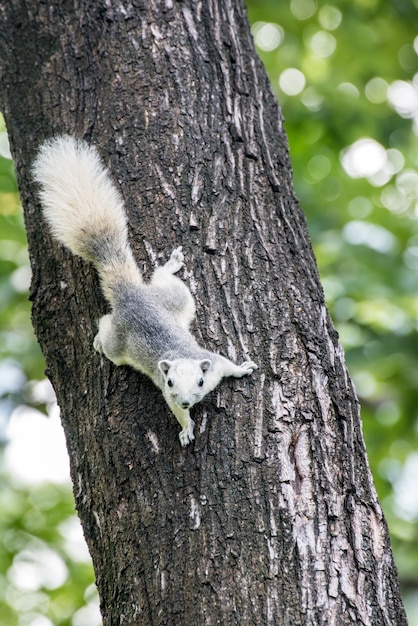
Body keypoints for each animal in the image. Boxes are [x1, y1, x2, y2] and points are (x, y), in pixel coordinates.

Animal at [32, 136, 256, 446]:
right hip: (119, 342)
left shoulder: (213, 362)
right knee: (105, 325)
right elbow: (177, 413)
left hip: (177, 300)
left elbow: (227, 365)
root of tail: (131, 295)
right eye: (170, 382)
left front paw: (242, 369)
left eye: (200, 381)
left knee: (164, 283)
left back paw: (171, 265)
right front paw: (187, 428)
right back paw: (99, 339)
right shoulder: (168, 393)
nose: (186, 401)